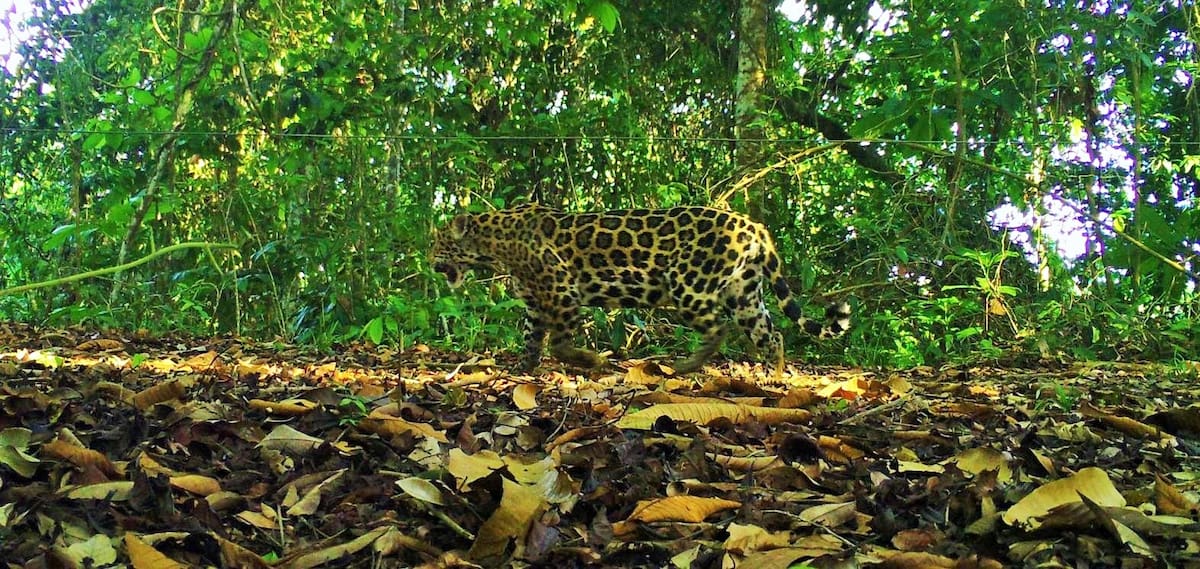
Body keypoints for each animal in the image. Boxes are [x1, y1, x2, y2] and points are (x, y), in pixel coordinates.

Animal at [431, 203, 851, 377]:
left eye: (438, 246)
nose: (429, 261)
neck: (494, 241)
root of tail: (753, 225)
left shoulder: (561, 289)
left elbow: (559, 343)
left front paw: (592, 362)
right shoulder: (537, 301)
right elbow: (533, 338)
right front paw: (523, 368)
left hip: (689, 284)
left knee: (718, 327)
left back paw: (686, 367)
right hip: (744, 292)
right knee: (771, 334)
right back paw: (775, 376)